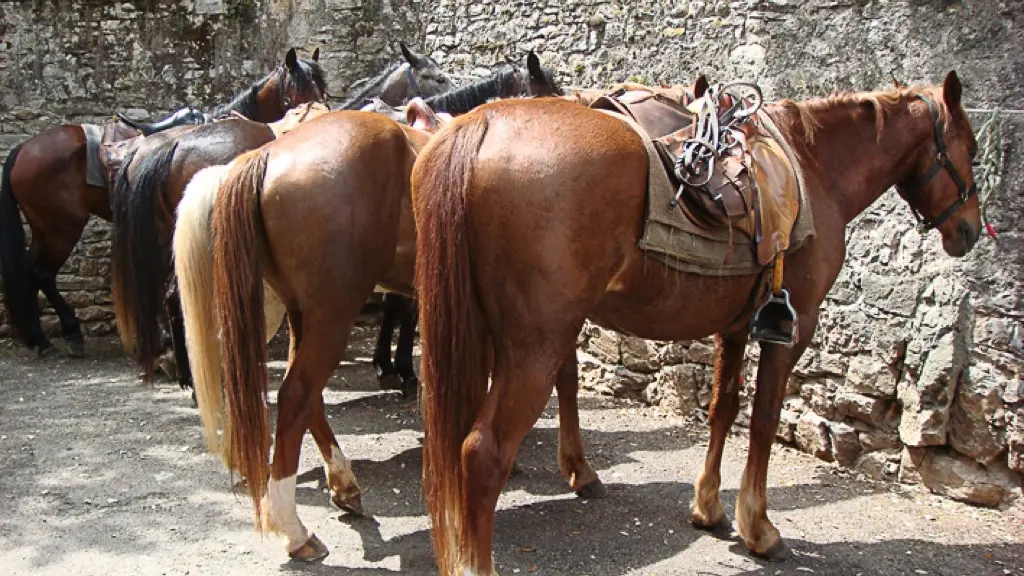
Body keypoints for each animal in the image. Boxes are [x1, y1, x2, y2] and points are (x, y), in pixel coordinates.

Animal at [0, 47, 319, 356]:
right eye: (297, 90)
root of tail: (22, 149)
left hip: (47, 227)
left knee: (31, 272)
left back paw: (41, 338)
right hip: (61, 227)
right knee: (42, 273)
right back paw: (63, 335)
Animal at [411, 69, 978, 569]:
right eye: (972, 150)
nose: (970, 230)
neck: (813, 168)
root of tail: (480, 125)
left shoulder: (736, 326)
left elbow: (722, 408)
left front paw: (708, 507)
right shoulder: (791, 328)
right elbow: (764, 420)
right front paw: (760, 529)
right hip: (535, 345)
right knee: (482, 454)